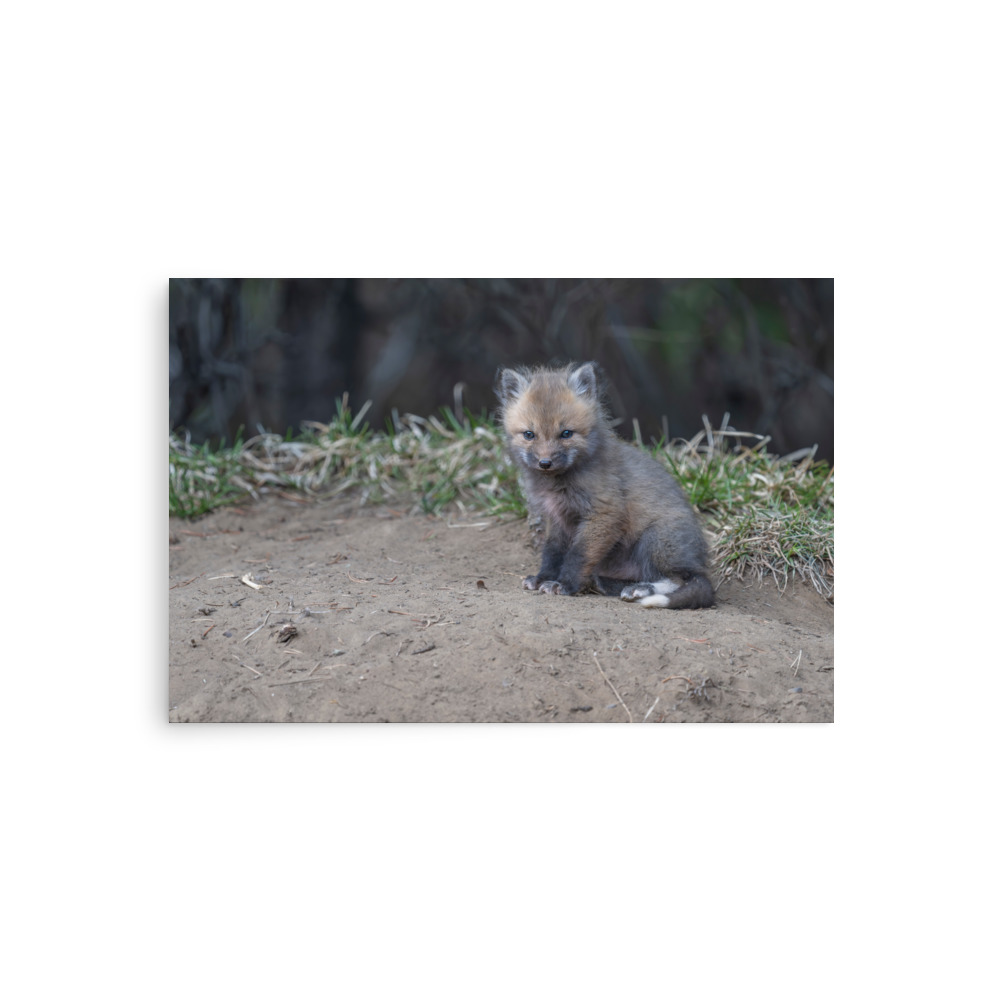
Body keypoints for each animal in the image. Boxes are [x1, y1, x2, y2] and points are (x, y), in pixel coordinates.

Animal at [495, 361, 714, 610]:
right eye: (529, 434)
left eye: (566, 433)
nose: (545, 463)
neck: (558, 484)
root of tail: (699, 560)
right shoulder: (557, 519)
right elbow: (552, 553)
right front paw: (543, 578)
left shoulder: (604, 513)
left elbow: (578, 555)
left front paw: (564, 584)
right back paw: (606, 583)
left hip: (655, 540)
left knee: (680, 579)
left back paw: (640, 589)